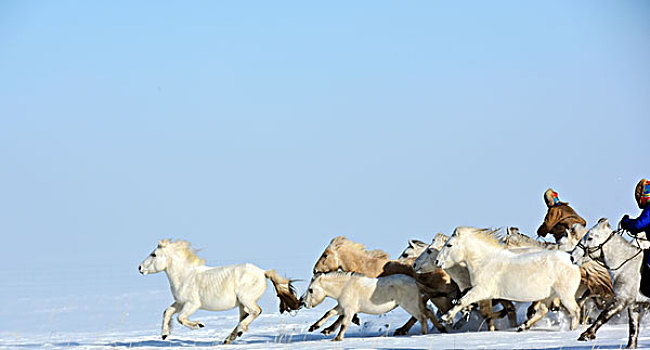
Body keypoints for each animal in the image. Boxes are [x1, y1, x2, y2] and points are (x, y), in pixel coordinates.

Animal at [139, 239, 298, 344]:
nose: (140, 268)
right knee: (245, 315)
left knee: (256, 311)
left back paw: (239, 331)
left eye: (154, 255)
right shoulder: (180, 303)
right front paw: (164, 335)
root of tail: (263, 272)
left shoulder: (192, 304)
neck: (185, 275)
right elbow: (167, 312)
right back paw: (230, 338)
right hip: (241, 303)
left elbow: (180, 318)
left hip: (246, 299)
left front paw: (199, 325)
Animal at [300, 270, 446, 342]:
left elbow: (344, 324)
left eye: (311, 290)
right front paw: (314, 327)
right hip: (415, 304)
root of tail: (414, 282)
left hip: (410, 305)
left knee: (422, 317)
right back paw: (441, 328)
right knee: (428, 313)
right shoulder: (342, 307)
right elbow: (329, 313)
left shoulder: (349, 310)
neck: (345, 287)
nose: (304, 303)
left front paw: (337, 338)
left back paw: (423, 334)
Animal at [412, 227, 580, 330]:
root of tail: (572, 260)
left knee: (575, 311)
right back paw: (523, 327)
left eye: (449, 245)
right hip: (549, 295)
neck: (485, 261)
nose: (437, 261)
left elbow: (464, 302)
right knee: (543, 310)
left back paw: (572, 331)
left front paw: (446, 317)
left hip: (564, 294)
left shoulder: (481, 291)